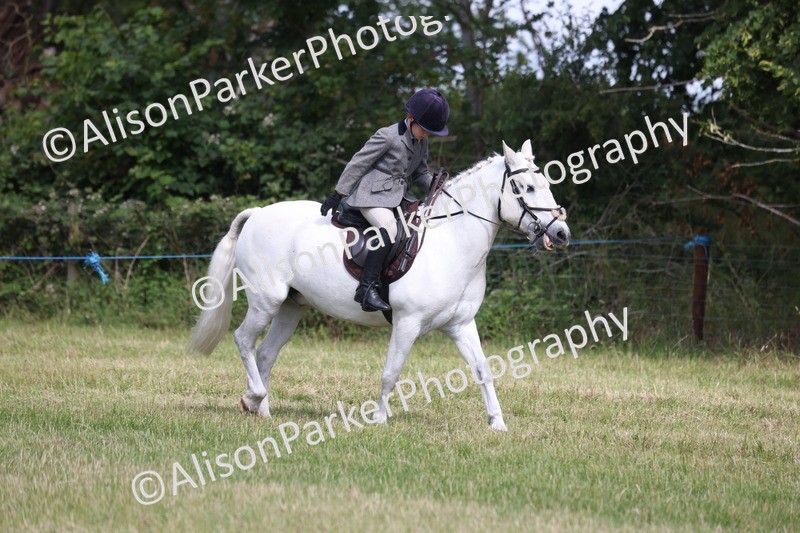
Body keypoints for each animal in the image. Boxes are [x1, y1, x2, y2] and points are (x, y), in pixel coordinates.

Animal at [188, 140, 570, 431]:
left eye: (547, 185)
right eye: (527, 188)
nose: (561, 234)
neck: (451, 241)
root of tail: (257, 213)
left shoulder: (461, 325)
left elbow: (483, 370)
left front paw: (497, 423)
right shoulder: (407, 322)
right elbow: (391, 372)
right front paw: (380, 419)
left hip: (291, 307)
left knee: (266, 353)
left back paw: (263, 410)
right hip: (266, 300)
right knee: (243, 340)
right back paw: (252, 397)